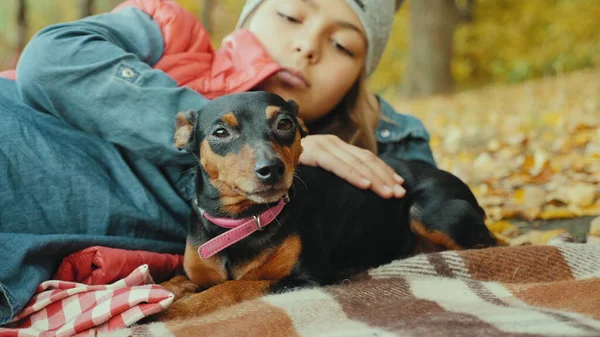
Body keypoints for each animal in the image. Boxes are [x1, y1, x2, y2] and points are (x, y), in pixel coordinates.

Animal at [156, 90, 496, 318]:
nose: (271, 169)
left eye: (285, 123)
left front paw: (174, 311)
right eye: (220, 132)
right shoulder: (195, 273)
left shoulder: (307, 278)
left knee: (489, 245)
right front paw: (166, 293)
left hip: (426, 211)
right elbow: (175, 281)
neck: (239, 222)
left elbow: (230, 288)